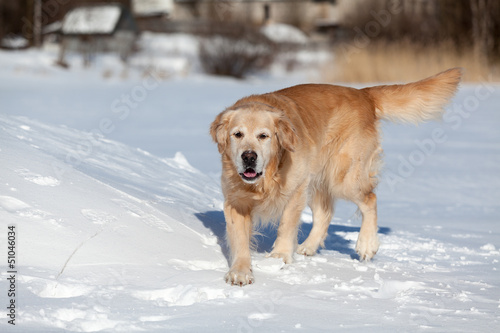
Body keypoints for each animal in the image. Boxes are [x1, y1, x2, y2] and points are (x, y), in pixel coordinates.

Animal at [210, 68, 460, 286]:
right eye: (237, 134)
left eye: (264, 136)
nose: (249, 157)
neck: (266, 177)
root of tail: (363, 93)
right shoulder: (235, 201)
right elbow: (239, 239)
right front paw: (240, 272)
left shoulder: (295, 191)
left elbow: (286, 225)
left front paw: (279, 257)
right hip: (318, 179)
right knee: (325, 212)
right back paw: (308, 247)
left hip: (343, 176)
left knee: (370, 199)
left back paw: (366, 244)